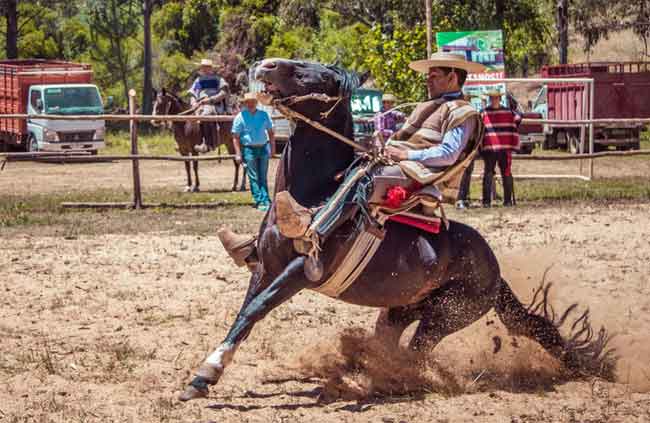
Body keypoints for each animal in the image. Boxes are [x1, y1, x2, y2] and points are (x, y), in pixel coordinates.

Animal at [177, 58, 612, 400]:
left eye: (317, 74)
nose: (265, 65)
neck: (314, 194)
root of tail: (495, 272)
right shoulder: (266, 267)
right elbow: (245, 313)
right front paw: (207, 373)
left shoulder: (302, 271)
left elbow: (257, 308)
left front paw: (206, 372)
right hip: (400, 310)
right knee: (391, 343)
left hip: (446, 316)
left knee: (415, 353)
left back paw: (383, 380)